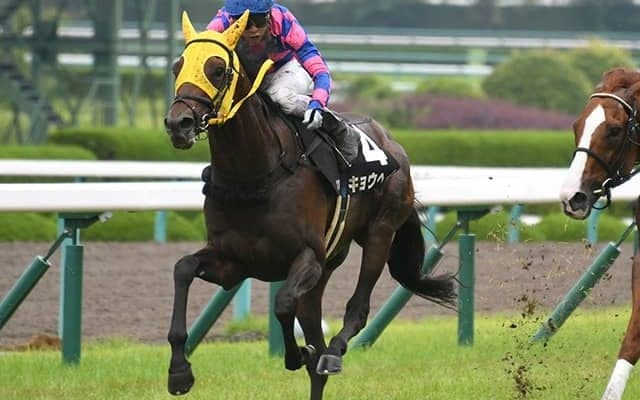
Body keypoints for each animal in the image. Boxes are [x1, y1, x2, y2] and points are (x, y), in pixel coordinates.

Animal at [162, 11, 456, 400]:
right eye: (177, 65)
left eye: (218, 69)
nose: (178, 123)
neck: (255, 175)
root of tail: (393, 145)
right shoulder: (231, 263)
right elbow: (182, 269)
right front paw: (179, 372)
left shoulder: (307, 258)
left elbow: (283, 304)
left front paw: (295, 354)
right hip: (328, 267)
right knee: (317, 348)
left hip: (379, 233)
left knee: (355, 311)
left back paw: (332, 352)